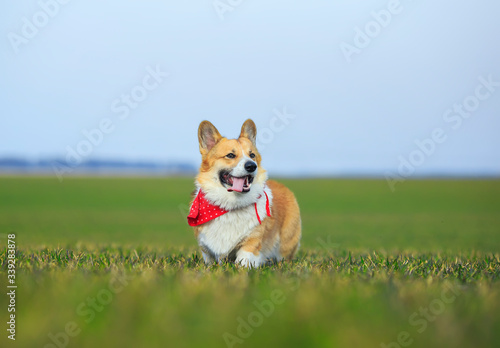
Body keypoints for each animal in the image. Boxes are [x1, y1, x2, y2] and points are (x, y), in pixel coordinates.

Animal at [186, 118, 298, 268]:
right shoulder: (206, 249)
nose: (251, 166)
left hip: (285, 246)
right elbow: (209, 260)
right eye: (230, 155)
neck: (229, 206)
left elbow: (243, 262)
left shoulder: (251, 243)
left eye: (252, 155)